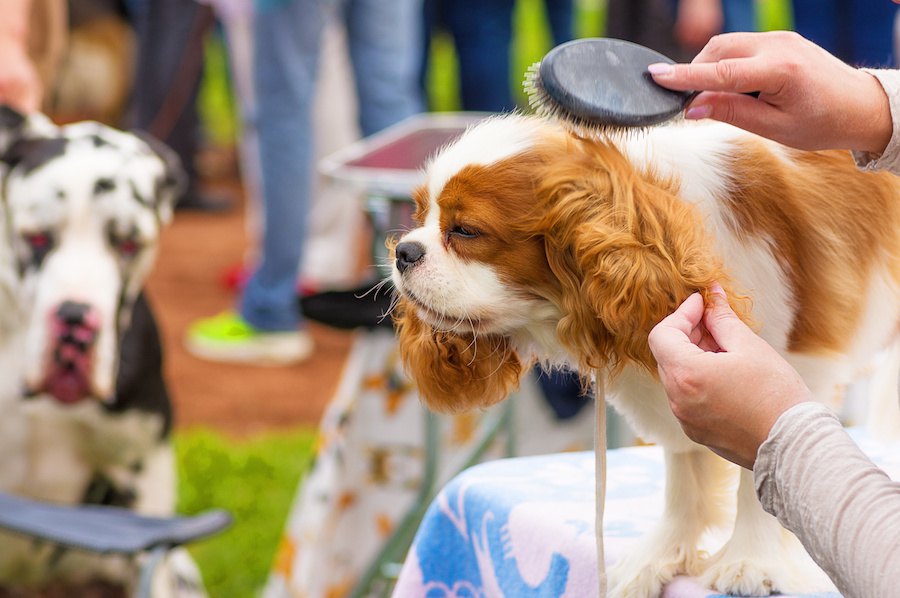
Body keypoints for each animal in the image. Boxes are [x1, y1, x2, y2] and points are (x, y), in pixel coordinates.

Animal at [392, 115, 900, 596]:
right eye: (417, 215)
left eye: (466, 231)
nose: (403, 252)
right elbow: (683, 470)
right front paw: (660, 556)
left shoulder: (796, 366)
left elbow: (760, 461)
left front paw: (751, 560)